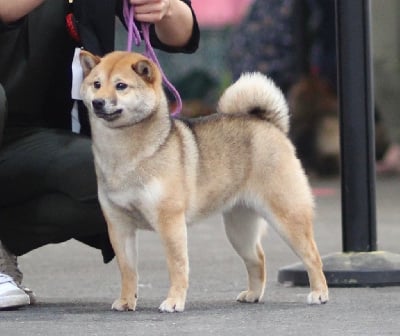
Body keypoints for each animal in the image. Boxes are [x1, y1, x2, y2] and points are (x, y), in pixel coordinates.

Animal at [79, 50, 328, 312]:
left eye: (121, 86)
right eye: (96, 84)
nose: (98, 102)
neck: (125, 154)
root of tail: (267, 123)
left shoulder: (170, 222)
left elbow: (177, 267)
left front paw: (174, 301)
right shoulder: (119, 225)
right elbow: (128, 271)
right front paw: (127, 301)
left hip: (287, 215)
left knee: (312, 255)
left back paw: (319, 293)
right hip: (239, 228)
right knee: (258, 258)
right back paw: (253, 294)